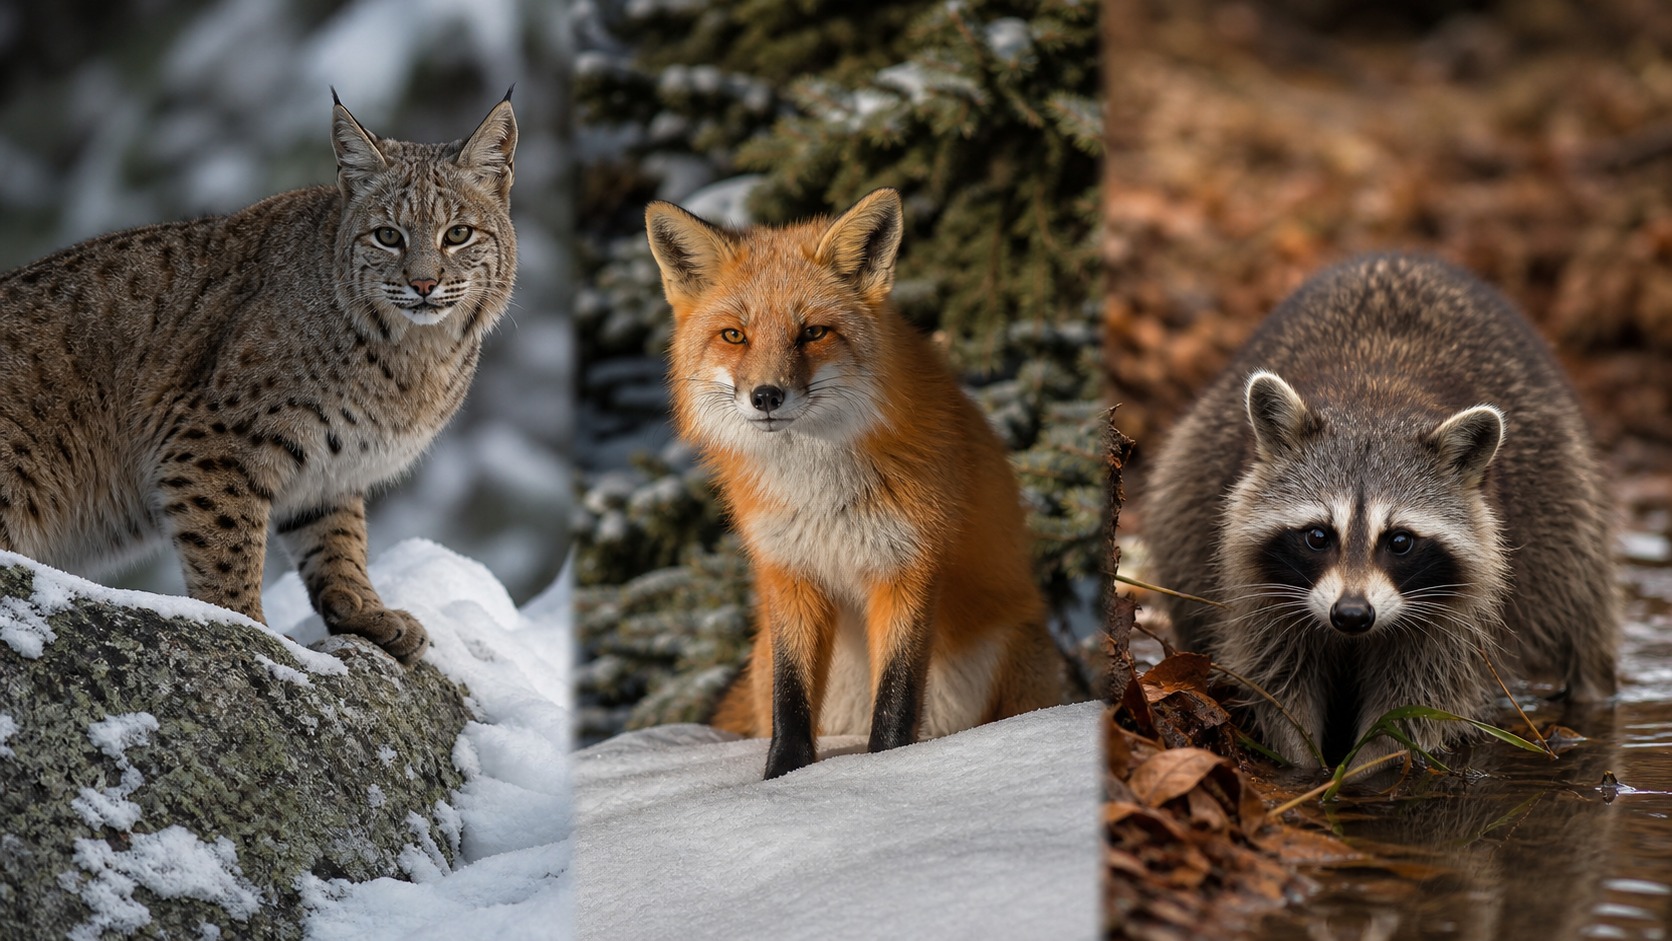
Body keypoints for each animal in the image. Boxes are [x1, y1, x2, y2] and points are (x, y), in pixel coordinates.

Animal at [644, 188, 1064, 779]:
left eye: (813, 332)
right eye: (734, 336)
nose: (766, 396)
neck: (819, 492)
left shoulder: (907, 567)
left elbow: (896, 696)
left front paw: (881, 771)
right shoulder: (790, 573)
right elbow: (791, 699)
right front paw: (781, 780)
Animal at [1140, 254, 1618, 768]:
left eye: (1400, 541)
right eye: (1318, 536)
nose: (1351, 614)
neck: (1375, 403)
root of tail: (1402, 256)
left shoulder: (1459, 610)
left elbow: (1419, 699)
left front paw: (1369, 767)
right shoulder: (1260, 587)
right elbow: (1278, 675)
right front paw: (1304, 764)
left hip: (1569, 495)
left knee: (1583, 606)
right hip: (1193, 471)